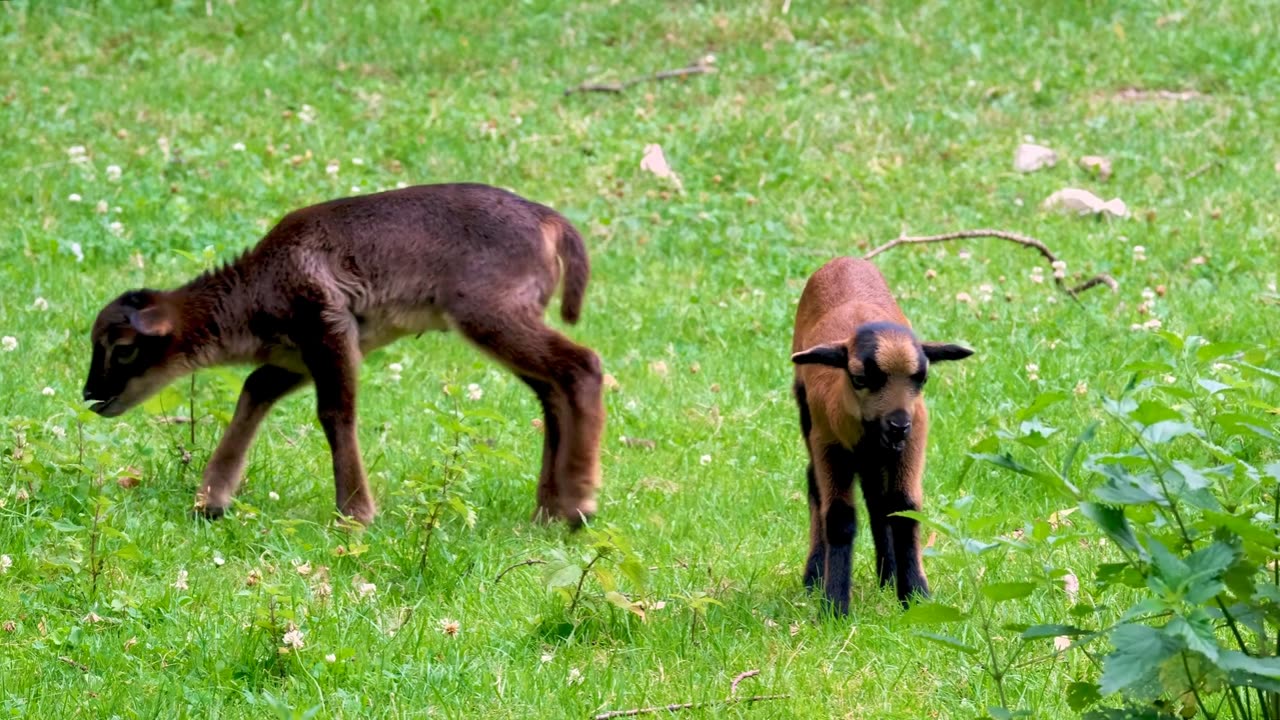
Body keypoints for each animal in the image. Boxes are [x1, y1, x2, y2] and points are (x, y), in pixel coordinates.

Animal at [83, 183, 605, 527]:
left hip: (490, 312)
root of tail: (553, 224)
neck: (253, 297)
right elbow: (254, 389)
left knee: (583, 364)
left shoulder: (328, 327)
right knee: (552, 390)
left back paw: (580, 503)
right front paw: (211, 500)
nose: (90, 395)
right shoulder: (296, 356)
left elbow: (335, 413)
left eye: (123, 349)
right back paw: (550, 509)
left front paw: (355, 512)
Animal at [791, 257, 972, 612]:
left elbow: (904, 509)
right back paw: (813, 576)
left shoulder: (912, 444)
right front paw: (834, 606)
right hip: (809, 421)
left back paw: (887, 576)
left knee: (877, 501)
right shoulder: (829, 445)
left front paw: (915, 596)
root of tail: (843, 260)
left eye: (922, 378)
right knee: (816, 488)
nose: (899, 424)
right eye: (859, 379)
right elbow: (839, 519)